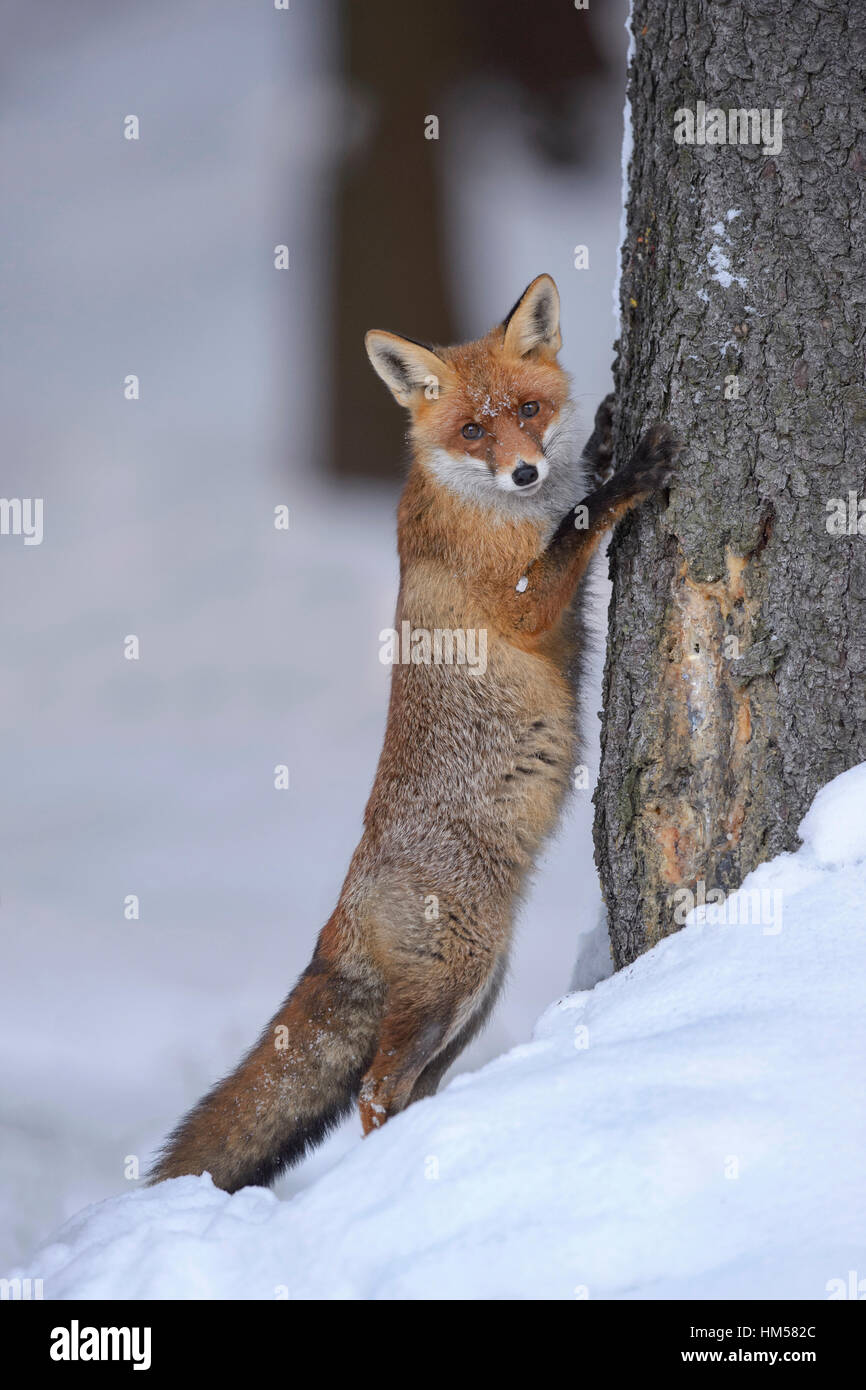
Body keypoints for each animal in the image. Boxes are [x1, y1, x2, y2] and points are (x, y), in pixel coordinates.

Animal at [148, 276, 681, 1189]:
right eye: (473, 431)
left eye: (529, 411)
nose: (526, 468)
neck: (495, 507)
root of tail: (345, 908)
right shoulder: (525, 601)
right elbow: (579, 522)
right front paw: (626, 473)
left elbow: (576, 490)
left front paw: (604, 432)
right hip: (454, 983)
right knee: (373, 1088)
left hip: (476, 996)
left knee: (405, 1088)